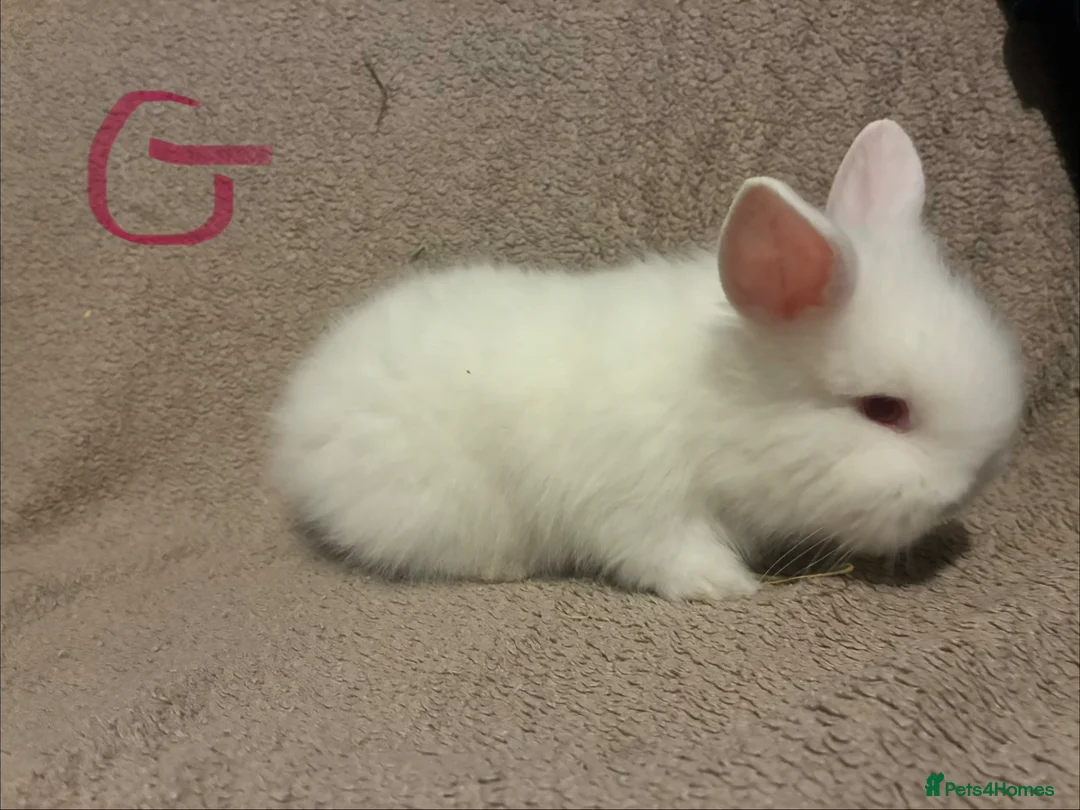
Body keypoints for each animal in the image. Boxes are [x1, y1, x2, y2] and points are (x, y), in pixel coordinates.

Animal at [270, 119, 1026, 602]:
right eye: (884, 409)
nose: (968, 487)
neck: (719, 398)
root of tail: (301, 409)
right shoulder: (640, 503)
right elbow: (666, 552)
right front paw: (726, 587)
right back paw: (502, 568)